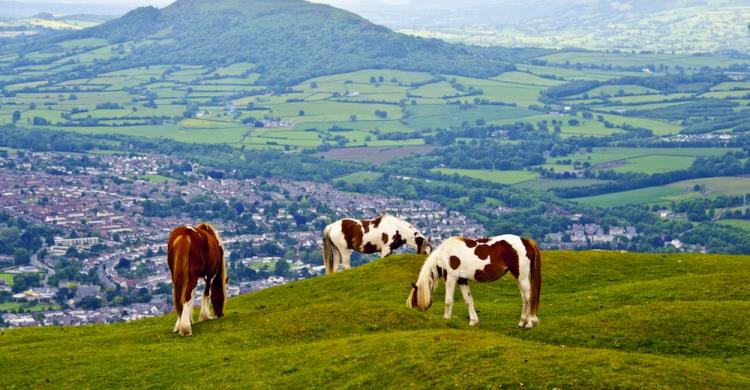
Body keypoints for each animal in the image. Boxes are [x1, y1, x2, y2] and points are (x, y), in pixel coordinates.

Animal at [408, 235, 544, 330]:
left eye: (414, 299)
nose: (416, 313)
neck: (444, 254)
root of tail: (526, 241)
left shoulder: (451, 277)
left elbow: (448, 300)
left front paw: (446, 319)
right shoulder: (462, 280)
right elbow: (468, 300)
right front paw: (473, 321)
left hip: (522, 277)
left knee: (529, 297)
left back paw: (530, 323)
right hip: (518, 277)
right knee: (524, 299)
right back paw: (522, 322)